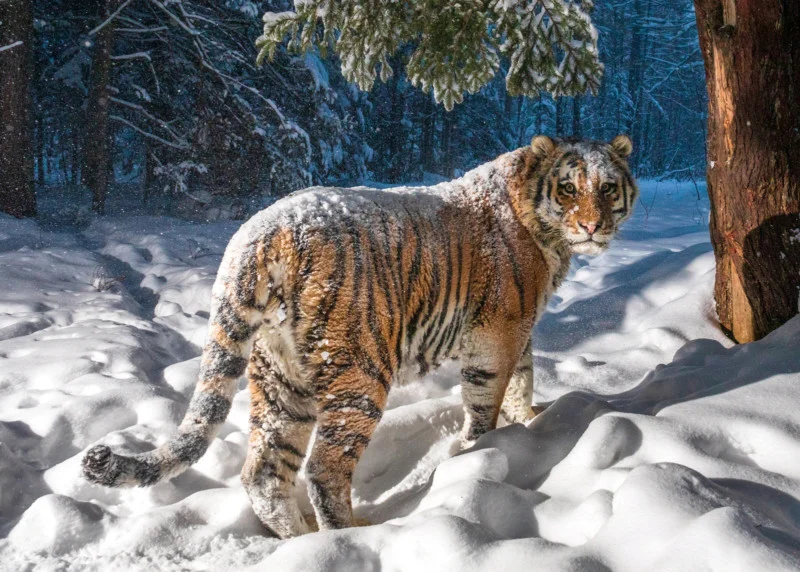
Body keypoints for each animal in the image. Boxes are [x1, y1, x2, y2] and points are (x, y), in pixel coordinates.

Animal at [83, 136, 636, 540]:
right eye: (568, 189)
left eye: (608, 188)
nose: (592, 225)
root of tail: (258, 233)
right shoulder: (497, 333)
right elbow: (488, 399)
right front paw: (485, 449)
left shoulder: (519, 332)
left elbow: (524, 379)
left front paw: (529, 422)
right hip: (360, 372)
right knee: (323, 470)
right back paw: (349, 536)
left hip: (281, 380)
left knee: (263, 471)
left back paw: (300, 540)